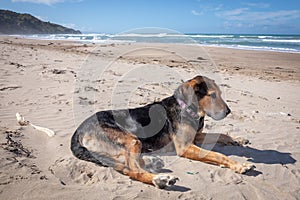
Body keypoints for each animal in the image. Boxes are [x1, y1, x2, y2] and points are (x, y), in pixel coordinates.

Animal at [71, 75, 255, 189]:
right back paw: (159, 180)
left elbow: (222, 135)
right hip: (132, 139)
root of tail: (78, 131)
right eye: (213, 95)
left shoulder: (197, 137)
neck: (188, 109)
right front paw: (239, 165)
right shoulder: (185, 147)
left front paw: (239, 139)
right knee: (132, 170)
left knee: (128, 163)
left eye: (220, 94)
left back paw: (153, 163)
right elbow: (218, 155)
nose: (229, 111)